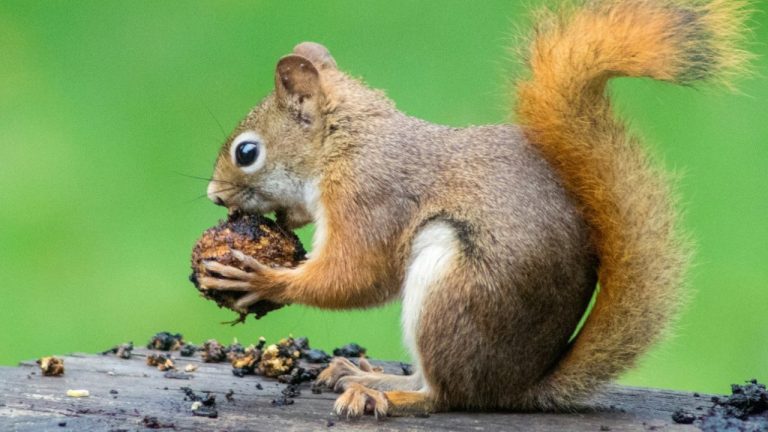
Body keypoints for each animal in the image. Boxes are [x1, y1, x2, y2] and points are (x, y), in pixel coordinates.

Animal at [198, 0, 750, 417]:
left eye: (247, 152)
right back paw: (363, 373)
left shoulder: (370, 195)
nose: (215, 196)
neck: (346, 142)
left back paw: (387, 394)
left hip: (451, 290)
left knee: (446, 396)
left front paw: (262, 279)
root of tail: (517, 388)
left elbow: (358, 275)